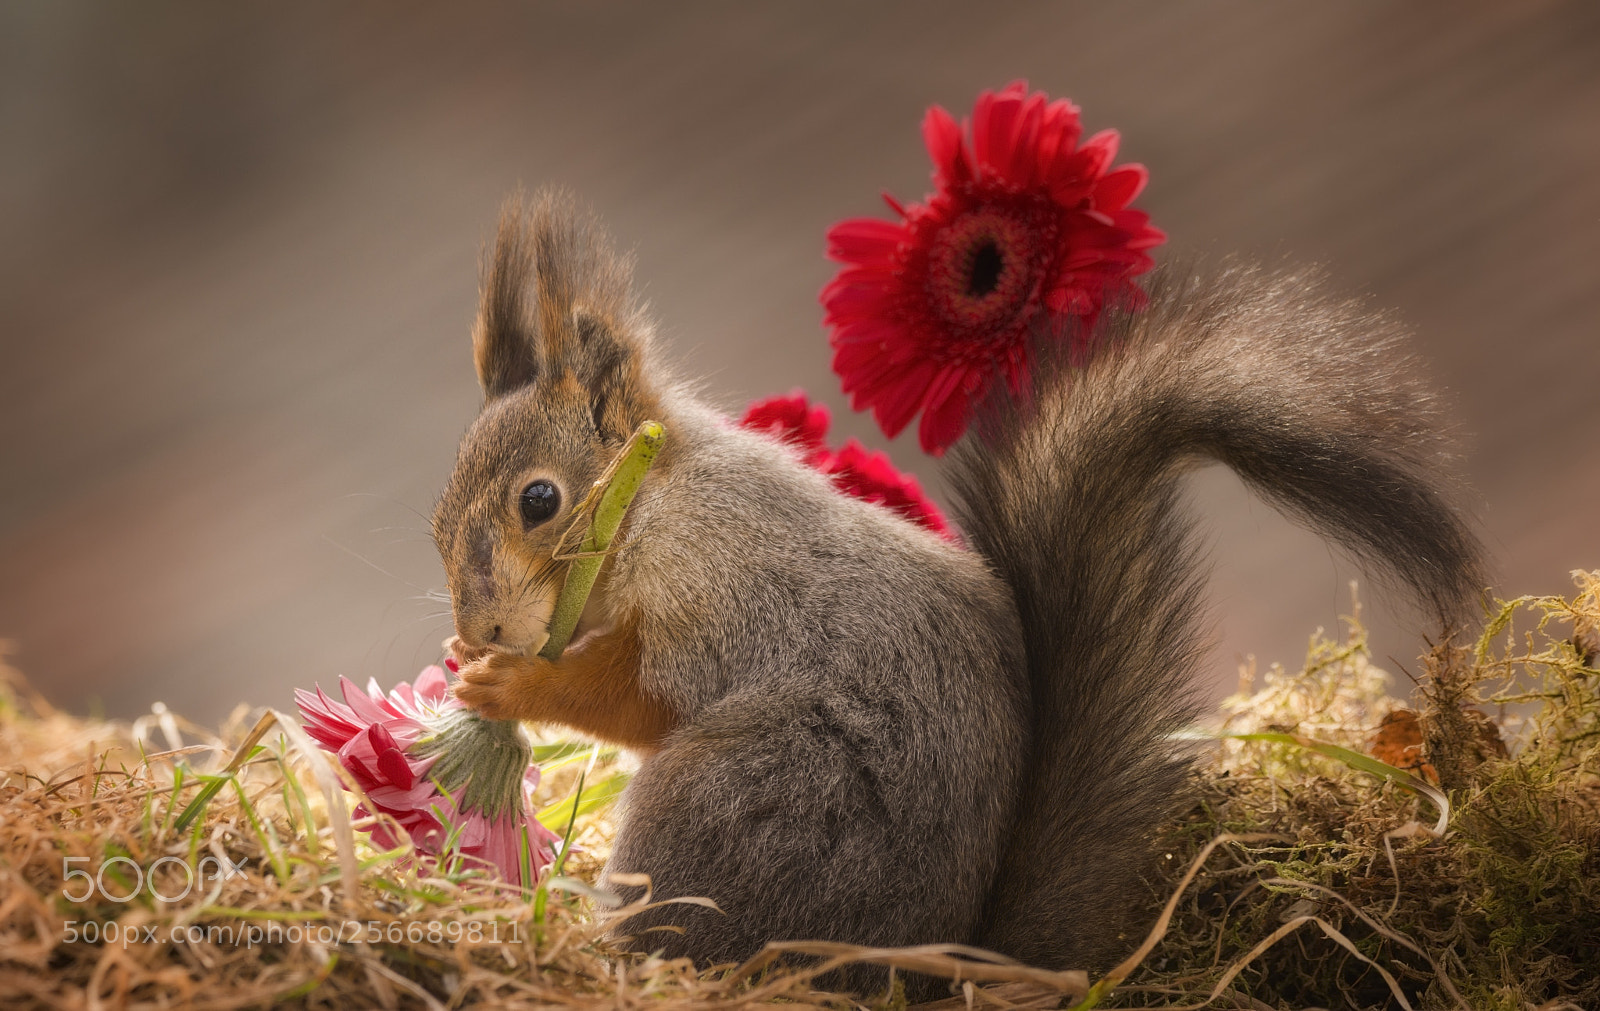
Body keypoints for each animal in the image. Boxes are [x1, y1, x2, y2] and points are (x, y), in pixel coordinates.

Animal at [432, 189, 1485, 997]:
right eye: (438, 520)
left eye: (539, 499)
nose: (481, 624)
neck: (652, 500)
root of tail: (927, 968)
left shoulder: (726, 591)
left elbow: (636, 693)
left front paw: (512, 684)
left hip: (737, 801)